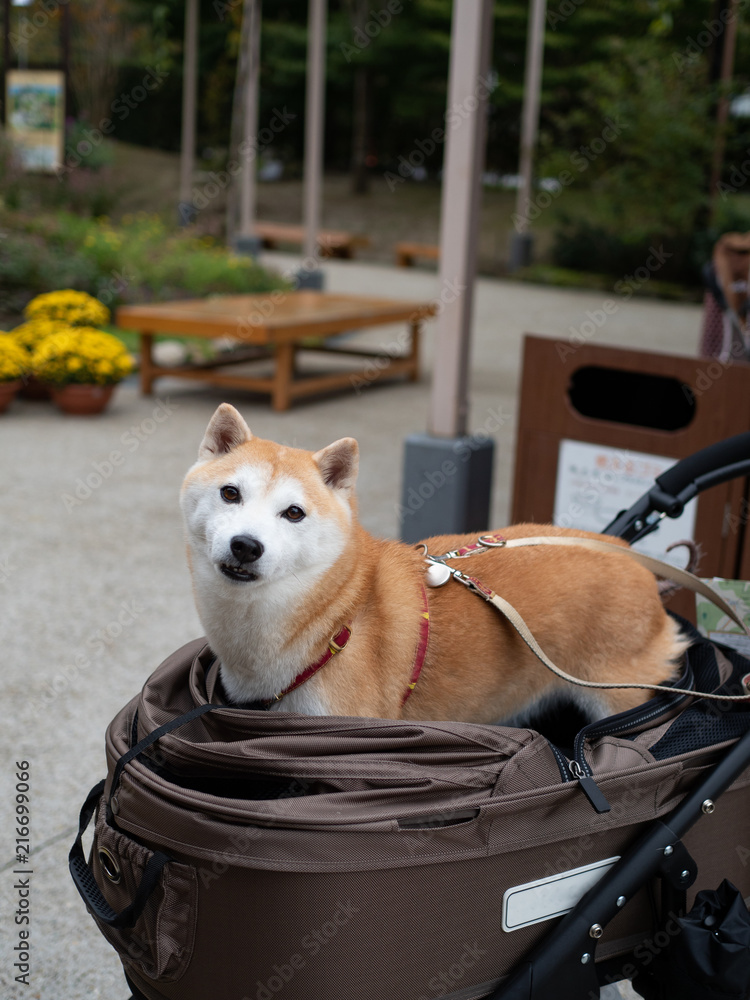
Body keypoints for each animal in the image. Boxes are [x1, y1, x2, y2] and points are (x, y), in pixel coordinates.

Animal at [181, 402, 688, 724]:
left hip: (621, 703)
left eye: (293, 513)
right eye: (231, 493)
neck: (336, 620)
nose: (246, 546)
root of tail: (641, 568)